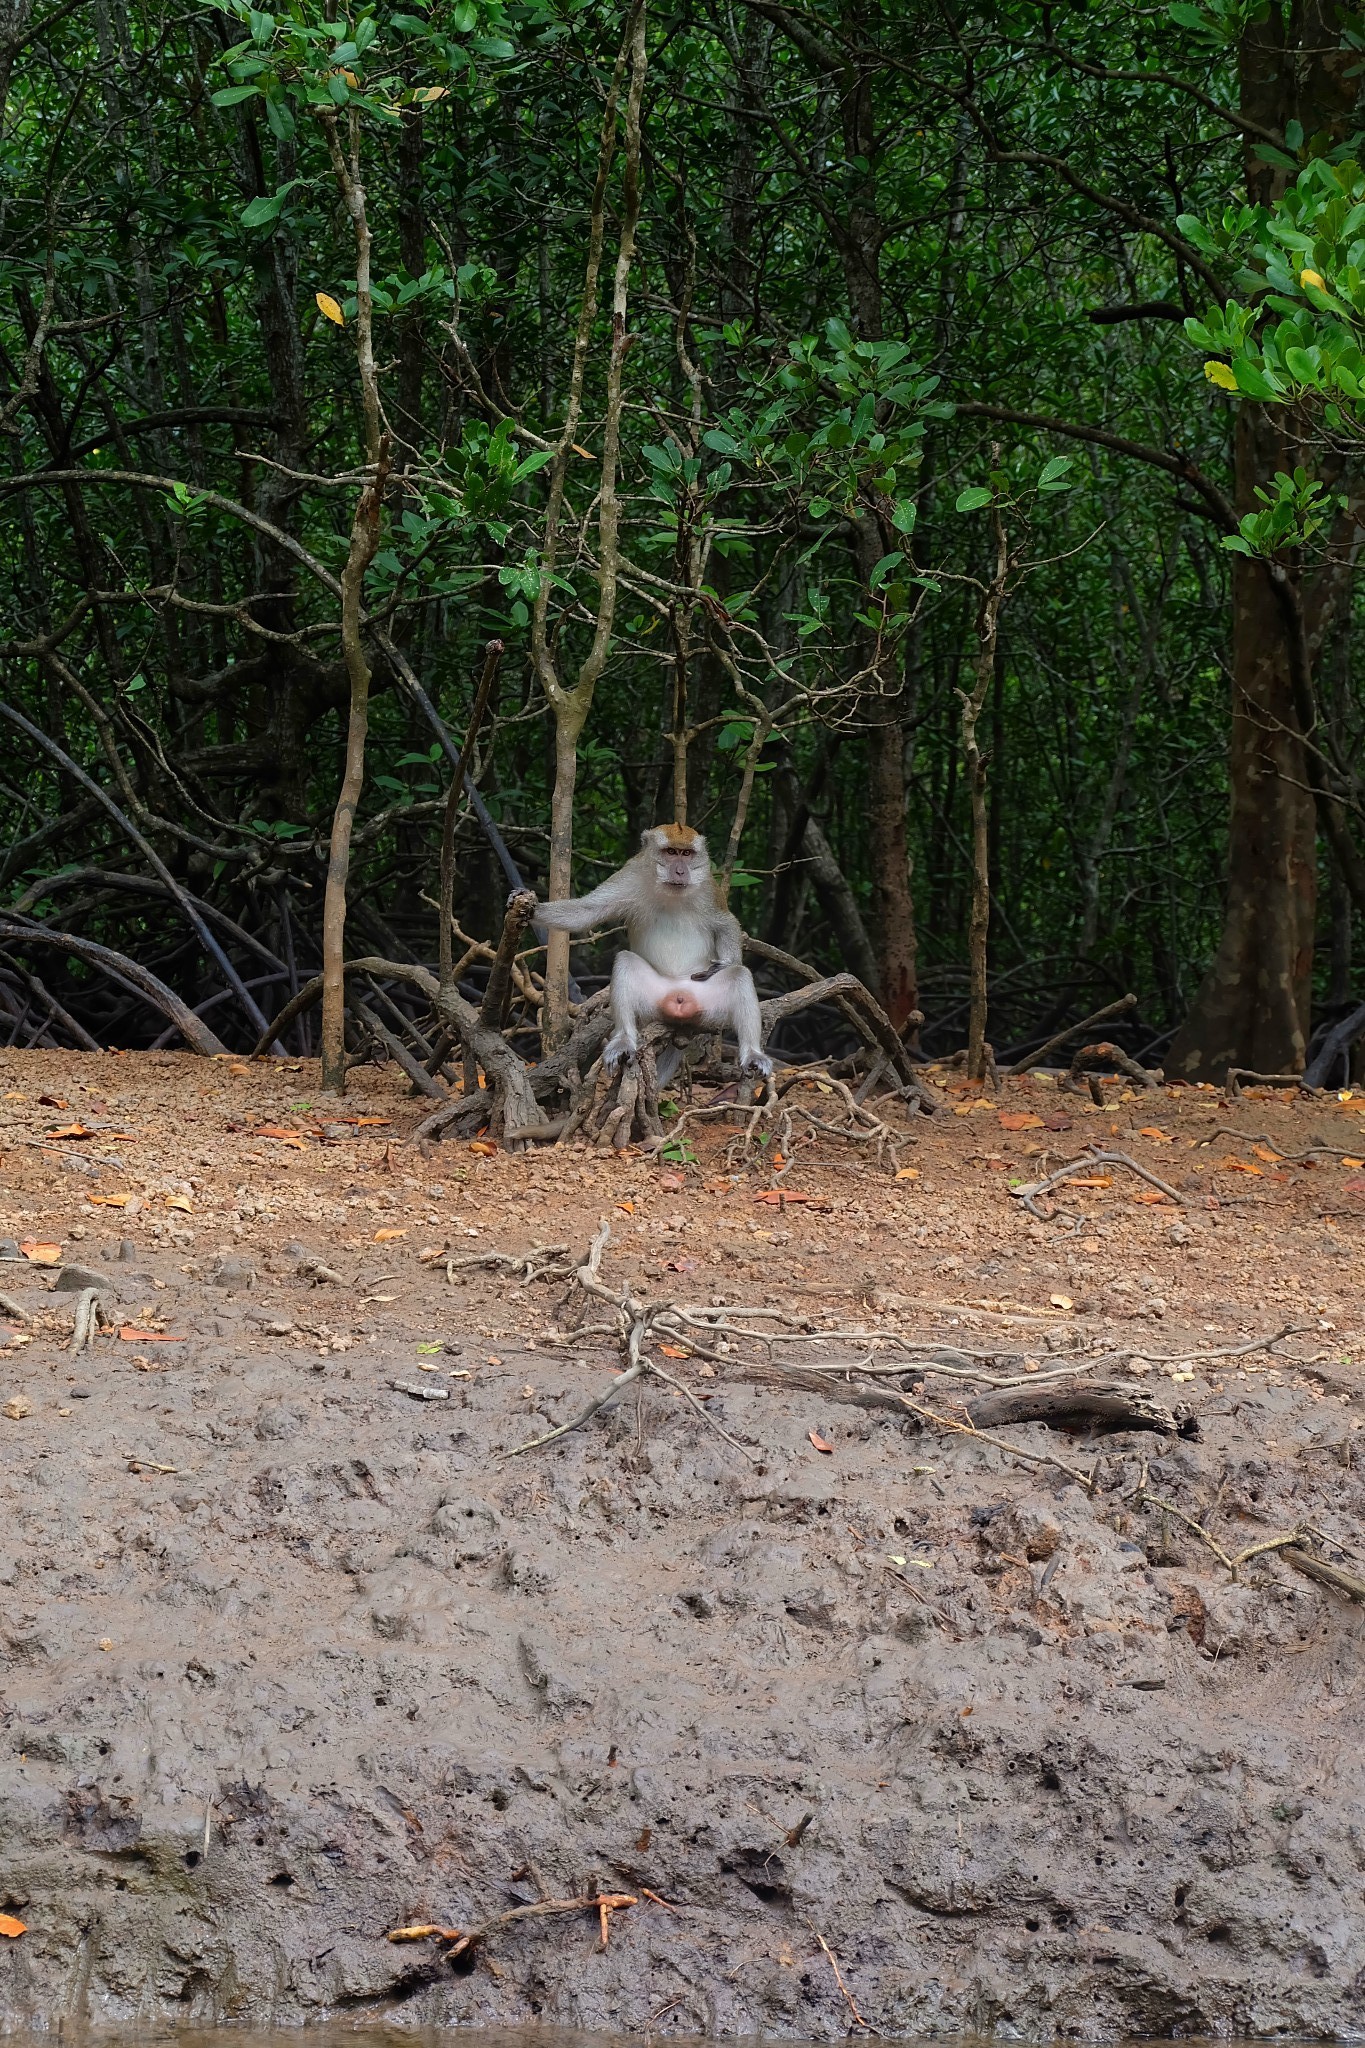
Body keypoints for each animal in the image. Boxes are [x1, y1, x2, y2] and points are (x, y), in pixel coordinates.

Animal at [532, 823, 769, 1081]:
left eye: (687, 854)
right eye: (671, 852)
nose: (680, 871)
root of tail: (679, 999)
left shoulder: (708, 888)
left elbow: (727, 923)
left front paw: (726, 962)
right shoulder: (630, 876)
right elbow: (585, 911)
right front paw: (532, 910)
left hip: (710, 1008)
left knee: (740, 975)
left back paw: (753, 1053)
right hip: (652, 1004)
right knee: (625, 961)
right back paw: (624, 1040)